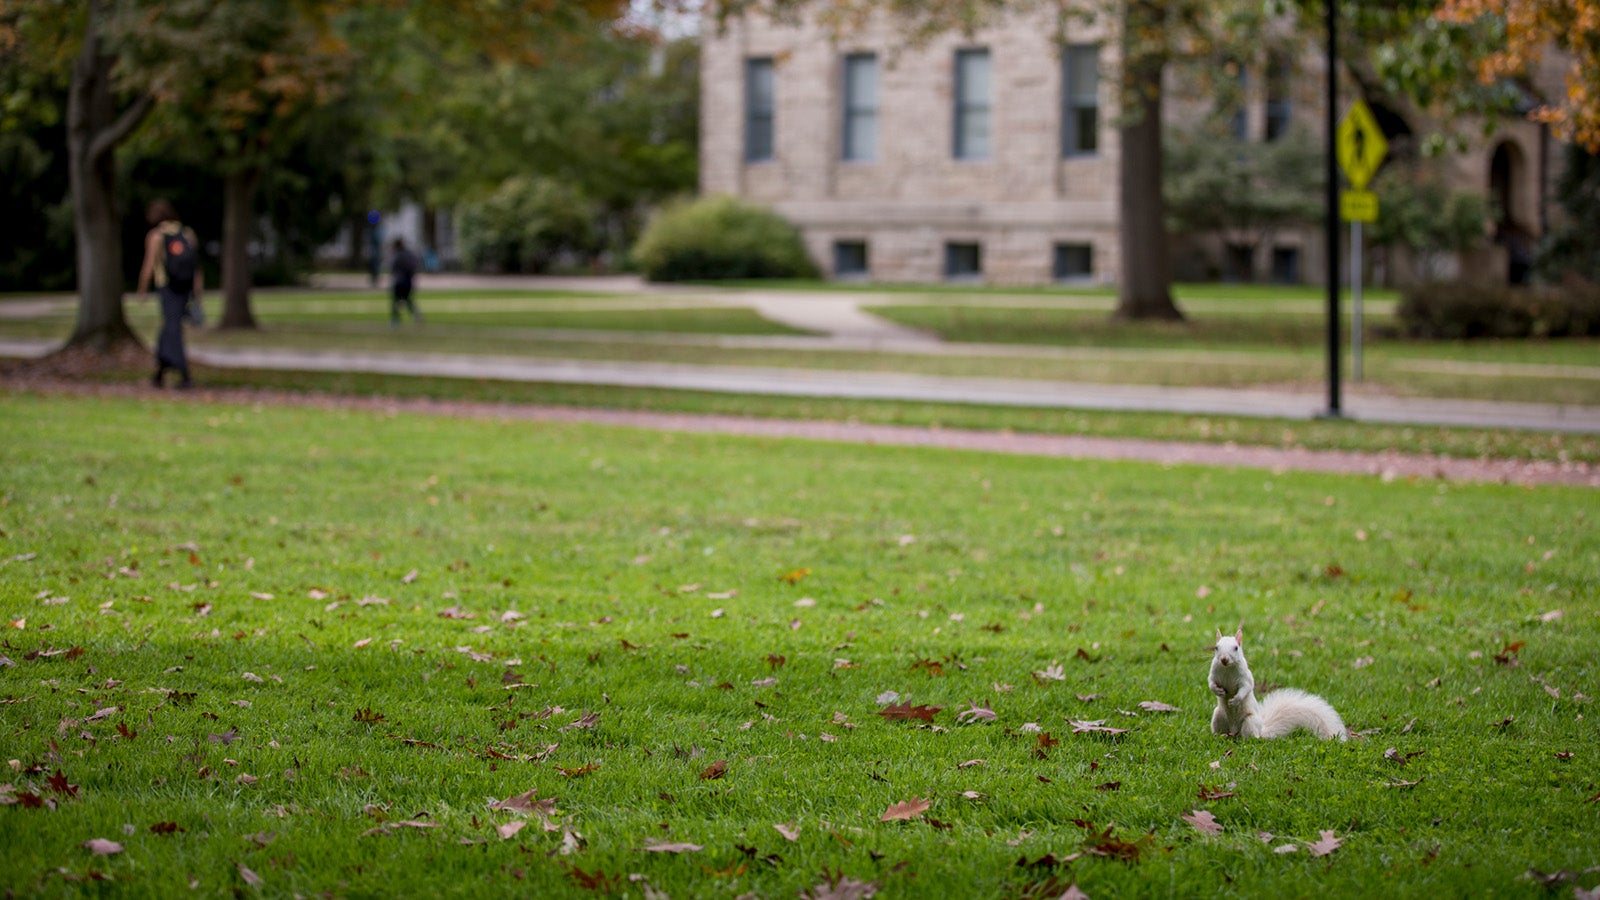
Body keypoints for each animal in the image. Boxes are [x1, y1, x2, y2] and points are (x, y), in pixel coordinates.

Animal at [1209, 626, 1347, 741]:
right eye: (1216, 647)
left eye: (1236, 648)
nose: (1224, 659)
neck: (1227, 668)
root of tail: (1234, 731)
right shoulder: (1213, 673)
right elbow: (1211, 683)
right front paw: (1218, 691)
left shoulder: (1245, 677)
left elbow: (1246, 687)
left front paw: (1235, 700)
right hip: (1218, 716)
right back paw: (1220, 736)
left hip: (1250, 722)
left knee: (1252, 736)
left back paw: (1250, 739)